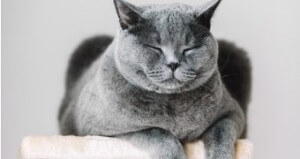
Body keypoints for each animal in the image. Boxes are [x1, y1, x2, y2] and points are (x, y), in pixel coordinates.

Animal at [58, 0, 251, 158]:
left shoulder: (232, 113)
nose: (173, 63)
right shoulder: (98, 129)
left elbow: (221, 134)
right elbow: (159, 133)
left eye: (189, 48)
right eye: (154, 47)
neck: (171, 103)